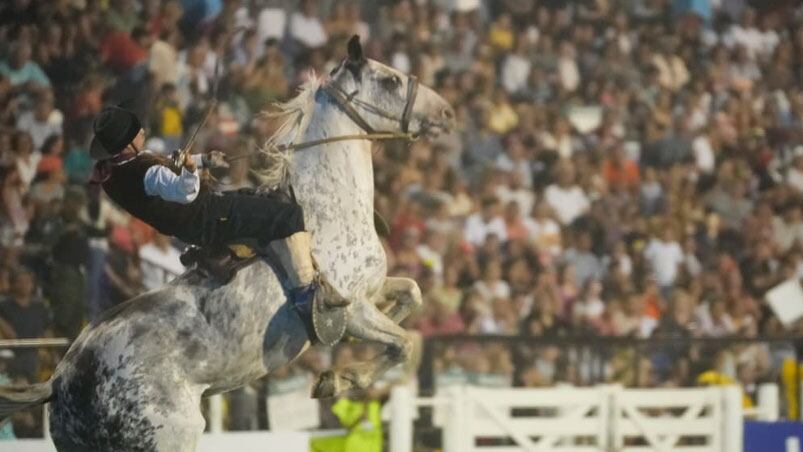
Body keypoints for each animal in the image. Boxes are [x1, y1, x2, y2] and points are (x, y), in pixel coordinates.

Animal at [0, 36, 452, 452]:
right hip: (172, 437)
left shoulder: (372, 290)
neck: (326, 207)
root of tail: (60, 379)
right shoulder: (352, 307)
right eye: (390, 80)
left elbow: (411, 293)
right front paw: (338, 379)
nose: (446, 112)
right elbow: (402, 344)